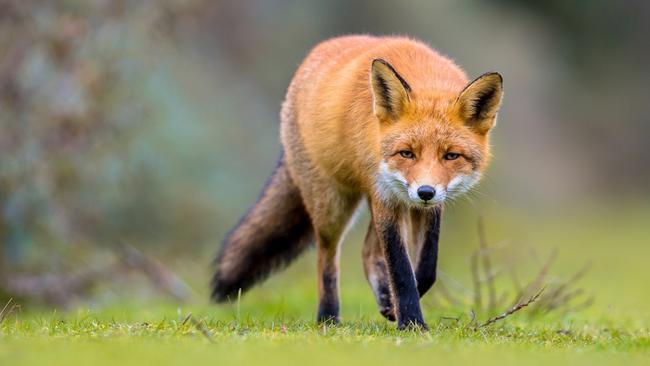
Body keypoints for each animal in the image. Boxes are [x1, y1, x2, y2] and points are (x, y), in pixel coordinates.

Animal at [210, 34, 504, 330]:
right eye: (407, 153)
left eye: (451, 156)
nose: (425, 192)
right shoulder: (385, 195)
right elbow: (400, 270)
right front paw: (411, 322)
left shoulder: (426, 206)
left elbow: (427, 267)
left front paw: (396, 307)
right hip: (332, 205)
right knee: (327, 255)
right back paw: (328, 316)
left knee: (367, 253)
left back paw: (382, 300)